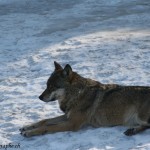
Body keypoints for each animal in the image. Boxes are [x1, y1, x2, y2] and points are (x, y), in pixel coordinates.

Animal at [19, 61, 150, 137]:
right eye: (47, 85)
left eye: (52, 87)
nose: (39, 97)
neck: (76, 94)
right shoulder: (67, 116)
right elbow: (45, 121)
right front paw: (27, 126)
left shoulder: (72, 123)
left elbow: (47, 127)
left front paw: (29, 132)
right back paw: (132, 130)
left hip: (140, 117)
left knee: (147, 126)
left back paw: (132, 131)